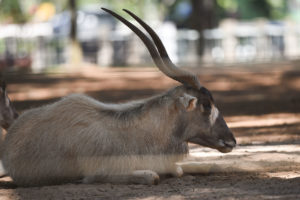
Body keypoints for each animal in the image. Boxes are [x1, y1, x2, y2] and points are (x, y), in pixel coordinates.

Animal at [1, 8, 237, 187]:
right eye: (206, 105)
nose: (231, 141)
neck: (131, 132)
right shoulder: (99, 174)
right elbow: (152, 176)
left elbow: (179, 170)